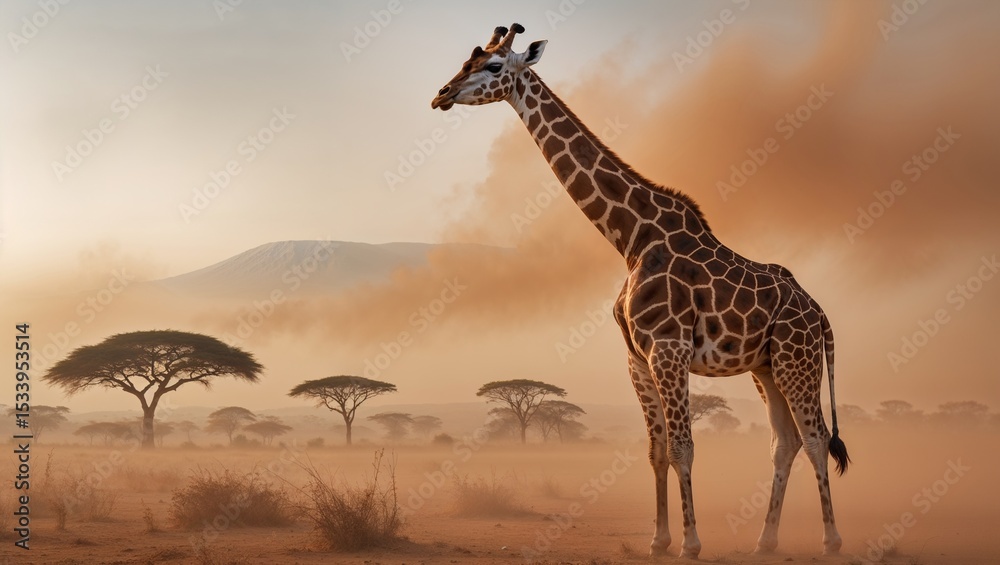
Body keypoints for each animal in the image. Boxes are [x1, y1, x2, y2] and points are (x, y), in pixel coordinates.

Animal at [431, 24, 850, 558]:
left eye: (492, 66)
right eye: (469, 59)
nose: (441, 95)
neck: (629, 239)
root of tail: (821, 316)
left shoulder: (668, 349)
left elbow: (683, 447)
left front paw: (691, 543)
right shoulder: (637, 356)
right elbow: (656, 450)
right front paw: (659, 540)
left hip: (799, 361)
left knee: (815, 437)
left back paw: (832, 540)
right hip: (767, 366)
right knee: (786, 441)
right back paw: (766, 541)